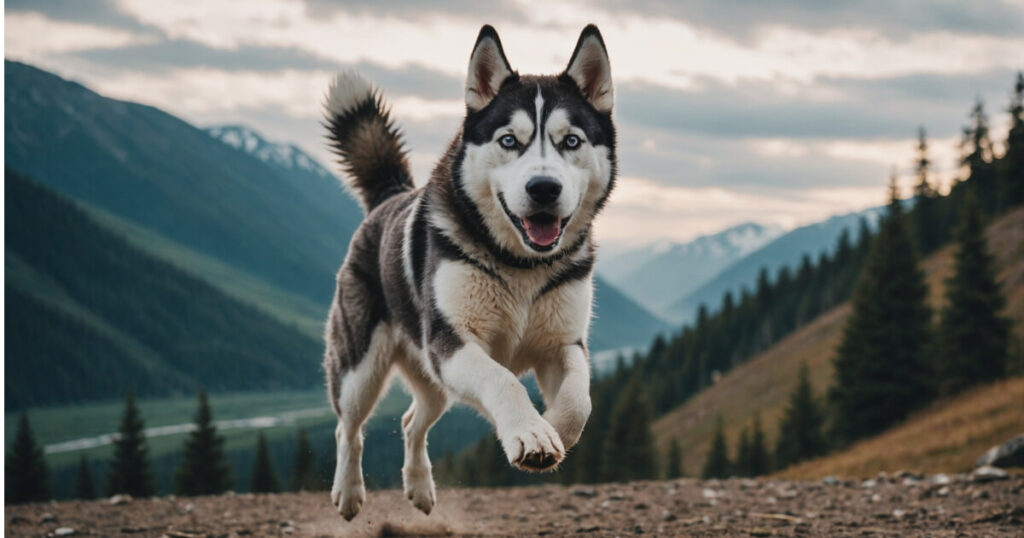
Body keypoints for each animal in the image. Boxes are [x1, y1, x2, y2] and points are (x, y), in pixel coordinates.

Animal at [323, 23, 610, 518]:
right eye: (509, 140)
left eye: (571, 141)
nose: (544, 188)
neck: (522, 266)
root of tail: (387, 198)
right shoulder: (453, 342)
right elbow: (503, 379)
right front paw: (529, 431)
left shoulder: (563, 343)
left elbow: (580, 400)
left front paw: (552, 428)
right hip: (361, 366)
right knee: (349, 428)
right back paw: (348, 491)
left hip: (433, 379)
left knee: (411, 421)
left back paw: (420, 486)